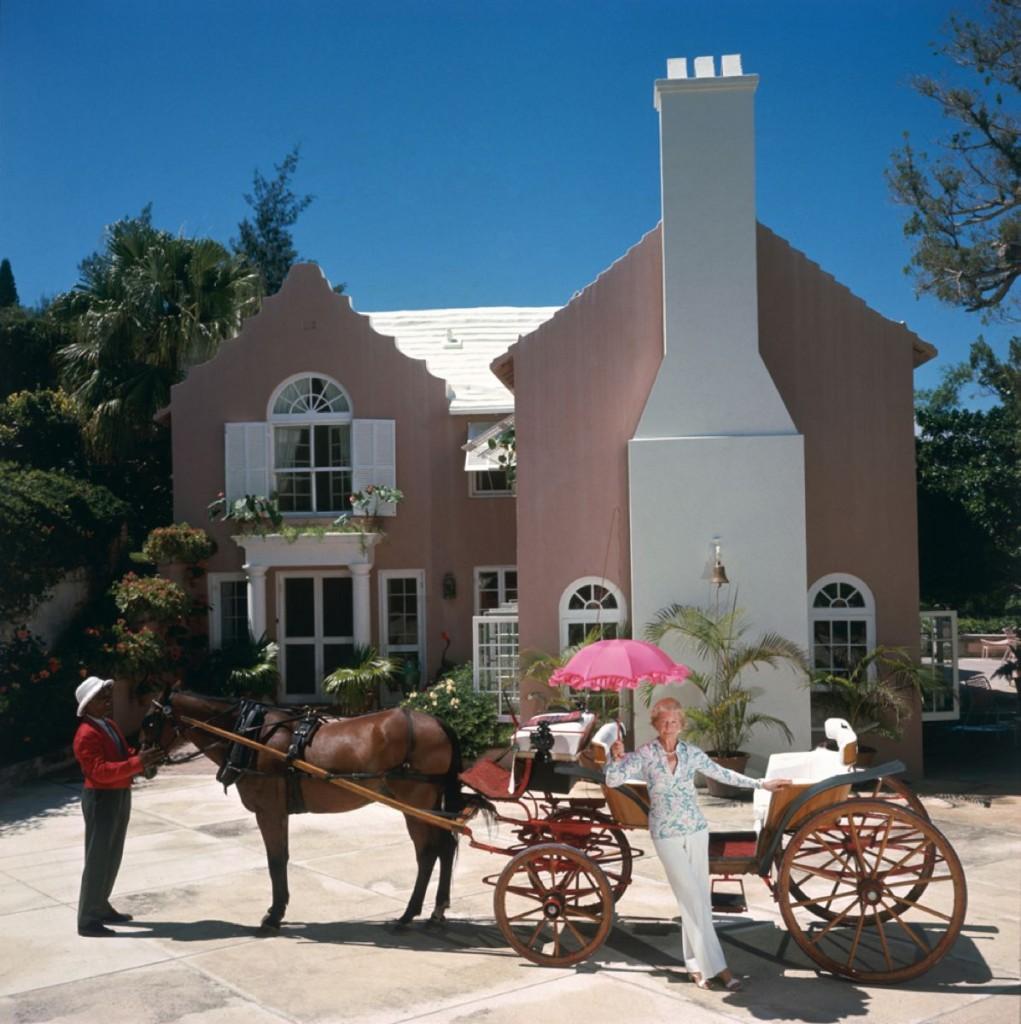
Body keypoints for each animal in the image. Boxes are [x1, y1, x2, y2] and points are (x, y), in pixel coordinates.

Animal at [139, 684, 466, 933]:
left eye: (150, 722)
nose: (142, 762)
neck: (249, 734)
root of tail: (439, 723)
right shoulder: (277, 812)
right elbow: (281, 858)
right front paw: (278, 909)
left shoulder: (269, 812)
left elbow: (275, 861)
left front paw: (273, 915)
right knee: (445, 847)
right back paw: (437, 910)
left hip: (415, 803)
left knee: (427, 853)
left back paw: (409, 914)